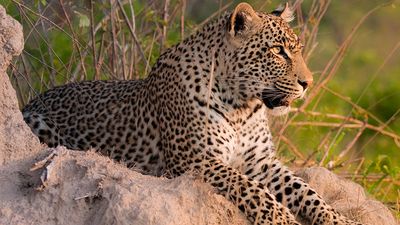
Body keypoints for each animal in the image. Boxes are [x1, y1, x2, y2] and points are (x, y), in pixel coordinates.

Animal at [23, 2, 364, 225]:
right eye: (278, 51)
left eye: (298, 49)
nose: (308, 83)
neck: (242, 107)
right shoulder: (196, 160)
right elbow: (252, 189)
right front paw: (283, 219)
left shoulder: (260, 161)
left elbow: (307, 191)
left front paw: (339, 220)